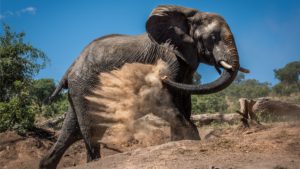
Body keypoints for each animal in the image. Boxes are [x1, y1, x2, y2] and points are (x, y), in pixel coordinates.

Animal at [40, 5, 248, 169]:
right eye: (213, 37)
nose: (159, 75)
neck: (189, 15)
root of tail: (71, 67)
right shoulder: (169, 56)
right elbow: (168, 98)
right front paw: (189, 139)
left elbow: (184, 98)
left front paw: (182, 141)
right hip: (83, 87)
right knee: (91, 130)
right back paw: (94, 162)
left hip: (79, 90)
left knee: (72, 131)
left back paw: (46, 163)